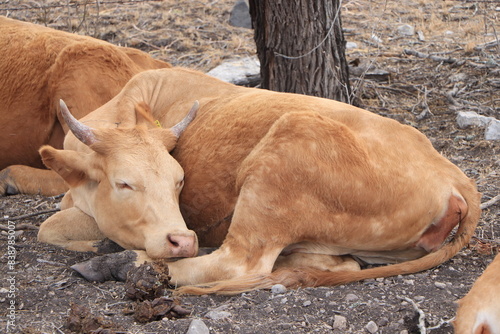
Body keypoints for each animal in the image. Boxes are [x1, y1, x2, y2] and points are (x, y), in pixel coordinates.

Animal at [35, 66, 480, 294]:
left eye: (179, 181)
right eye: (124, 183)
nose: (183, 240)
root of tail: (456, 177)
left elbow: (49, 227)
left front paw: (99, 247)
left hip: (278, 163)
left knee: (236, 263)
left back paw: (119, 264)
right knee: (339, 263)